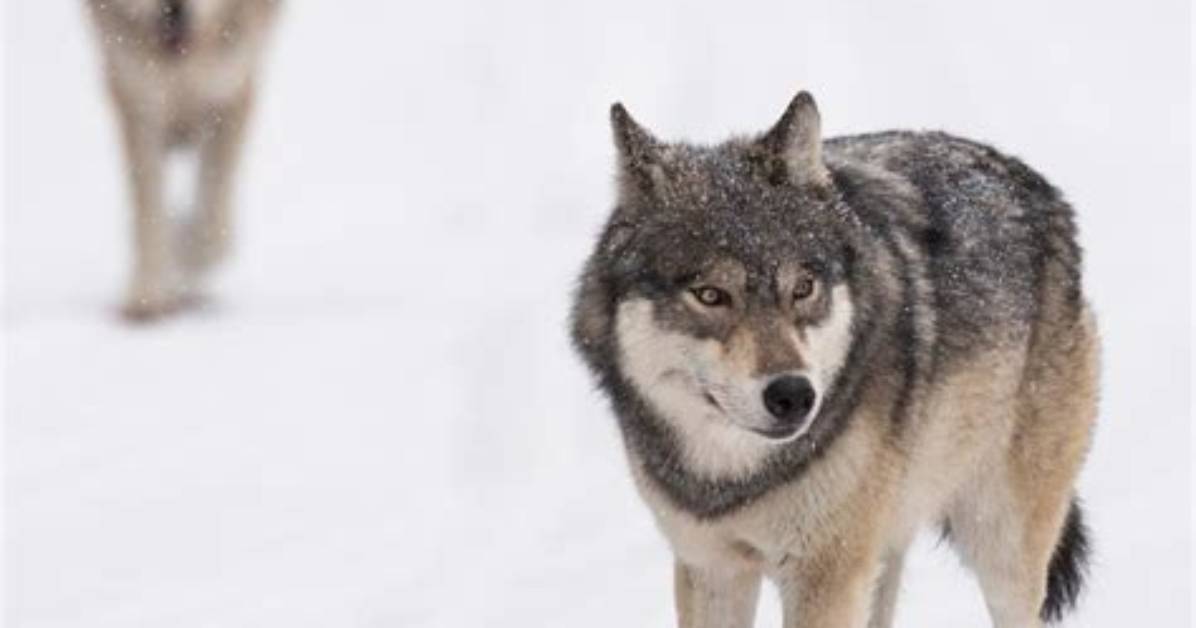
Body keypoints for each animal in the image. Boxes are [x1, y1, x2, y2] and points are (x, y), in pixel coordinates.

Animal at [86, 0, 280, 320]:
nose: (173, 11)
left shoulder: (231, 92)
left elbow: (212, 231)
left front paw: (181, 269)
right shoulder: (138, 99)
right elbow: (148, 215)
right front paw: (147, 293)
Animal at [571, 91, 1098, 627]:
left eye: (803, 288)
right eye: (711, 295)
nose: (793, 395)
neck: (736, 477)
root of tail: (1035, 183)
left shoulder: (826, 574)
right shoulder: (711, 565)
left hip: (998, 544)